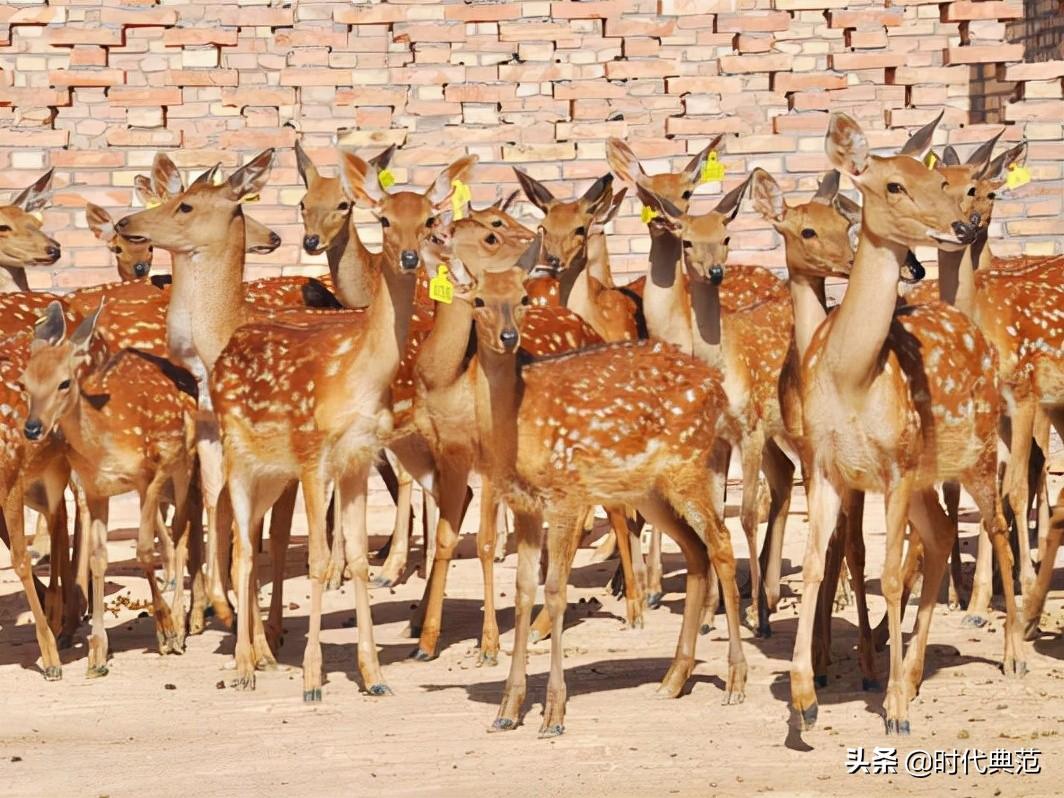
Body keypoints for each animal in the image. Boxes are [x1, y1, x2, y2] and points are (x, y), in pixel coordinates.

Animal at [19, 300, 198, 676]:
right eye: (24, 382)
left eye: (64, 382)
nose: (33, 428)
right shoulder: (95, 489)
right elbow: (98, 559)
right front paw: (97, 653)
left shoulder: (150, 474)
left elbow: (144, 550)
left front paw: (166, 630)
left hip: (183, 461)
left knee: (182, 530)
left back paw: (179, 623)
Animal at [474, 267, 749, 736]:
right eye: (476, 299)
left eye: (523, 297)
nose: (509, 337)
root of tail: (717, 386)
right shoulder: (525, 505)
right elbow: (525, 588)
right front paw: (507, 710)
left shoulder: (565, 495)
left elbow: (555, 589)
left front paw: (553, 714)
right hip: (649, 488)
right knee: (696, 550)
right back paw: (673, 678)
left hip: (689, 467)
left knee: (721, 542)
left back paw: (735, 680)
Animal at [791, 112, 1021, 736]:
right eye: (894, 185)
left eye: (938, 180)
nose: (963, 226)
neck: (852, 377)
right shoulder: (824, 464)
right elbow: (814, 566)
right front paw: (803, 699)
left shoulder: (893, 465)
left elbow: (892, 576)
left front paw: (892, 708)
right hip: (924, 475)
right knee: (941, 534)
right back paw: (917, 674)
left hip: (979, 449)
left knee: (998, 526)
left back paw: (1012, 652)